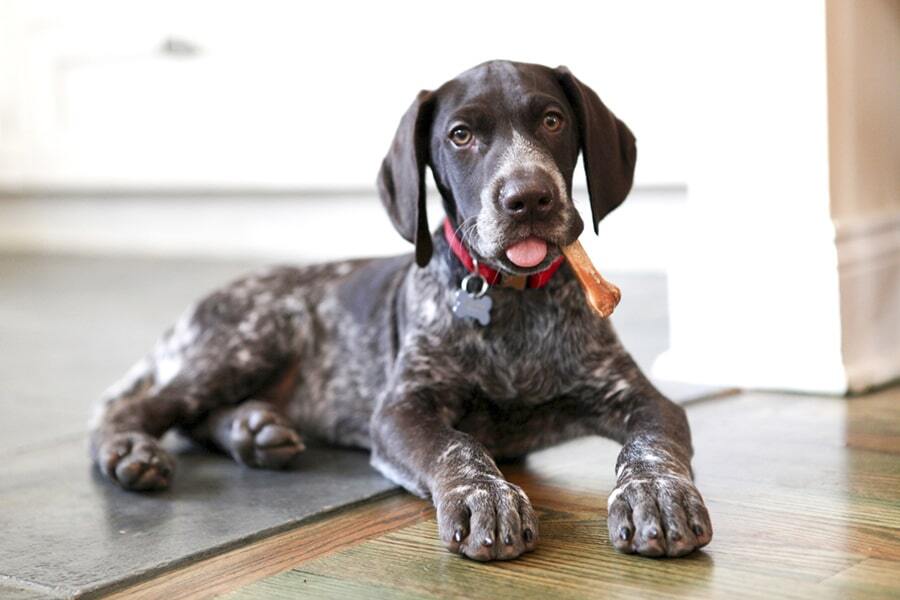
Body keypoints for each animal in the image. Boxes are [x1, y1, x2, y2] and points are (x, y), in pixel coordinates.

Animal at [89, 58, 712, 560]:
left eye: (553, 121)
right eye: (460, 135)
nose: (529, 198)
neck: (511, 300)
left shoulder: (641, 398)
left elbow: (649, 446)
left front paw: (657, 495)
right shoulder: (401, 410)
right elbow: (459, 447)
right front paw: (485, 497)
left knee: (195, 420)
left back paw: (253, 431)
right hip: (254, 335)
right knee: (140, 408)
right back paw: (130, 450)